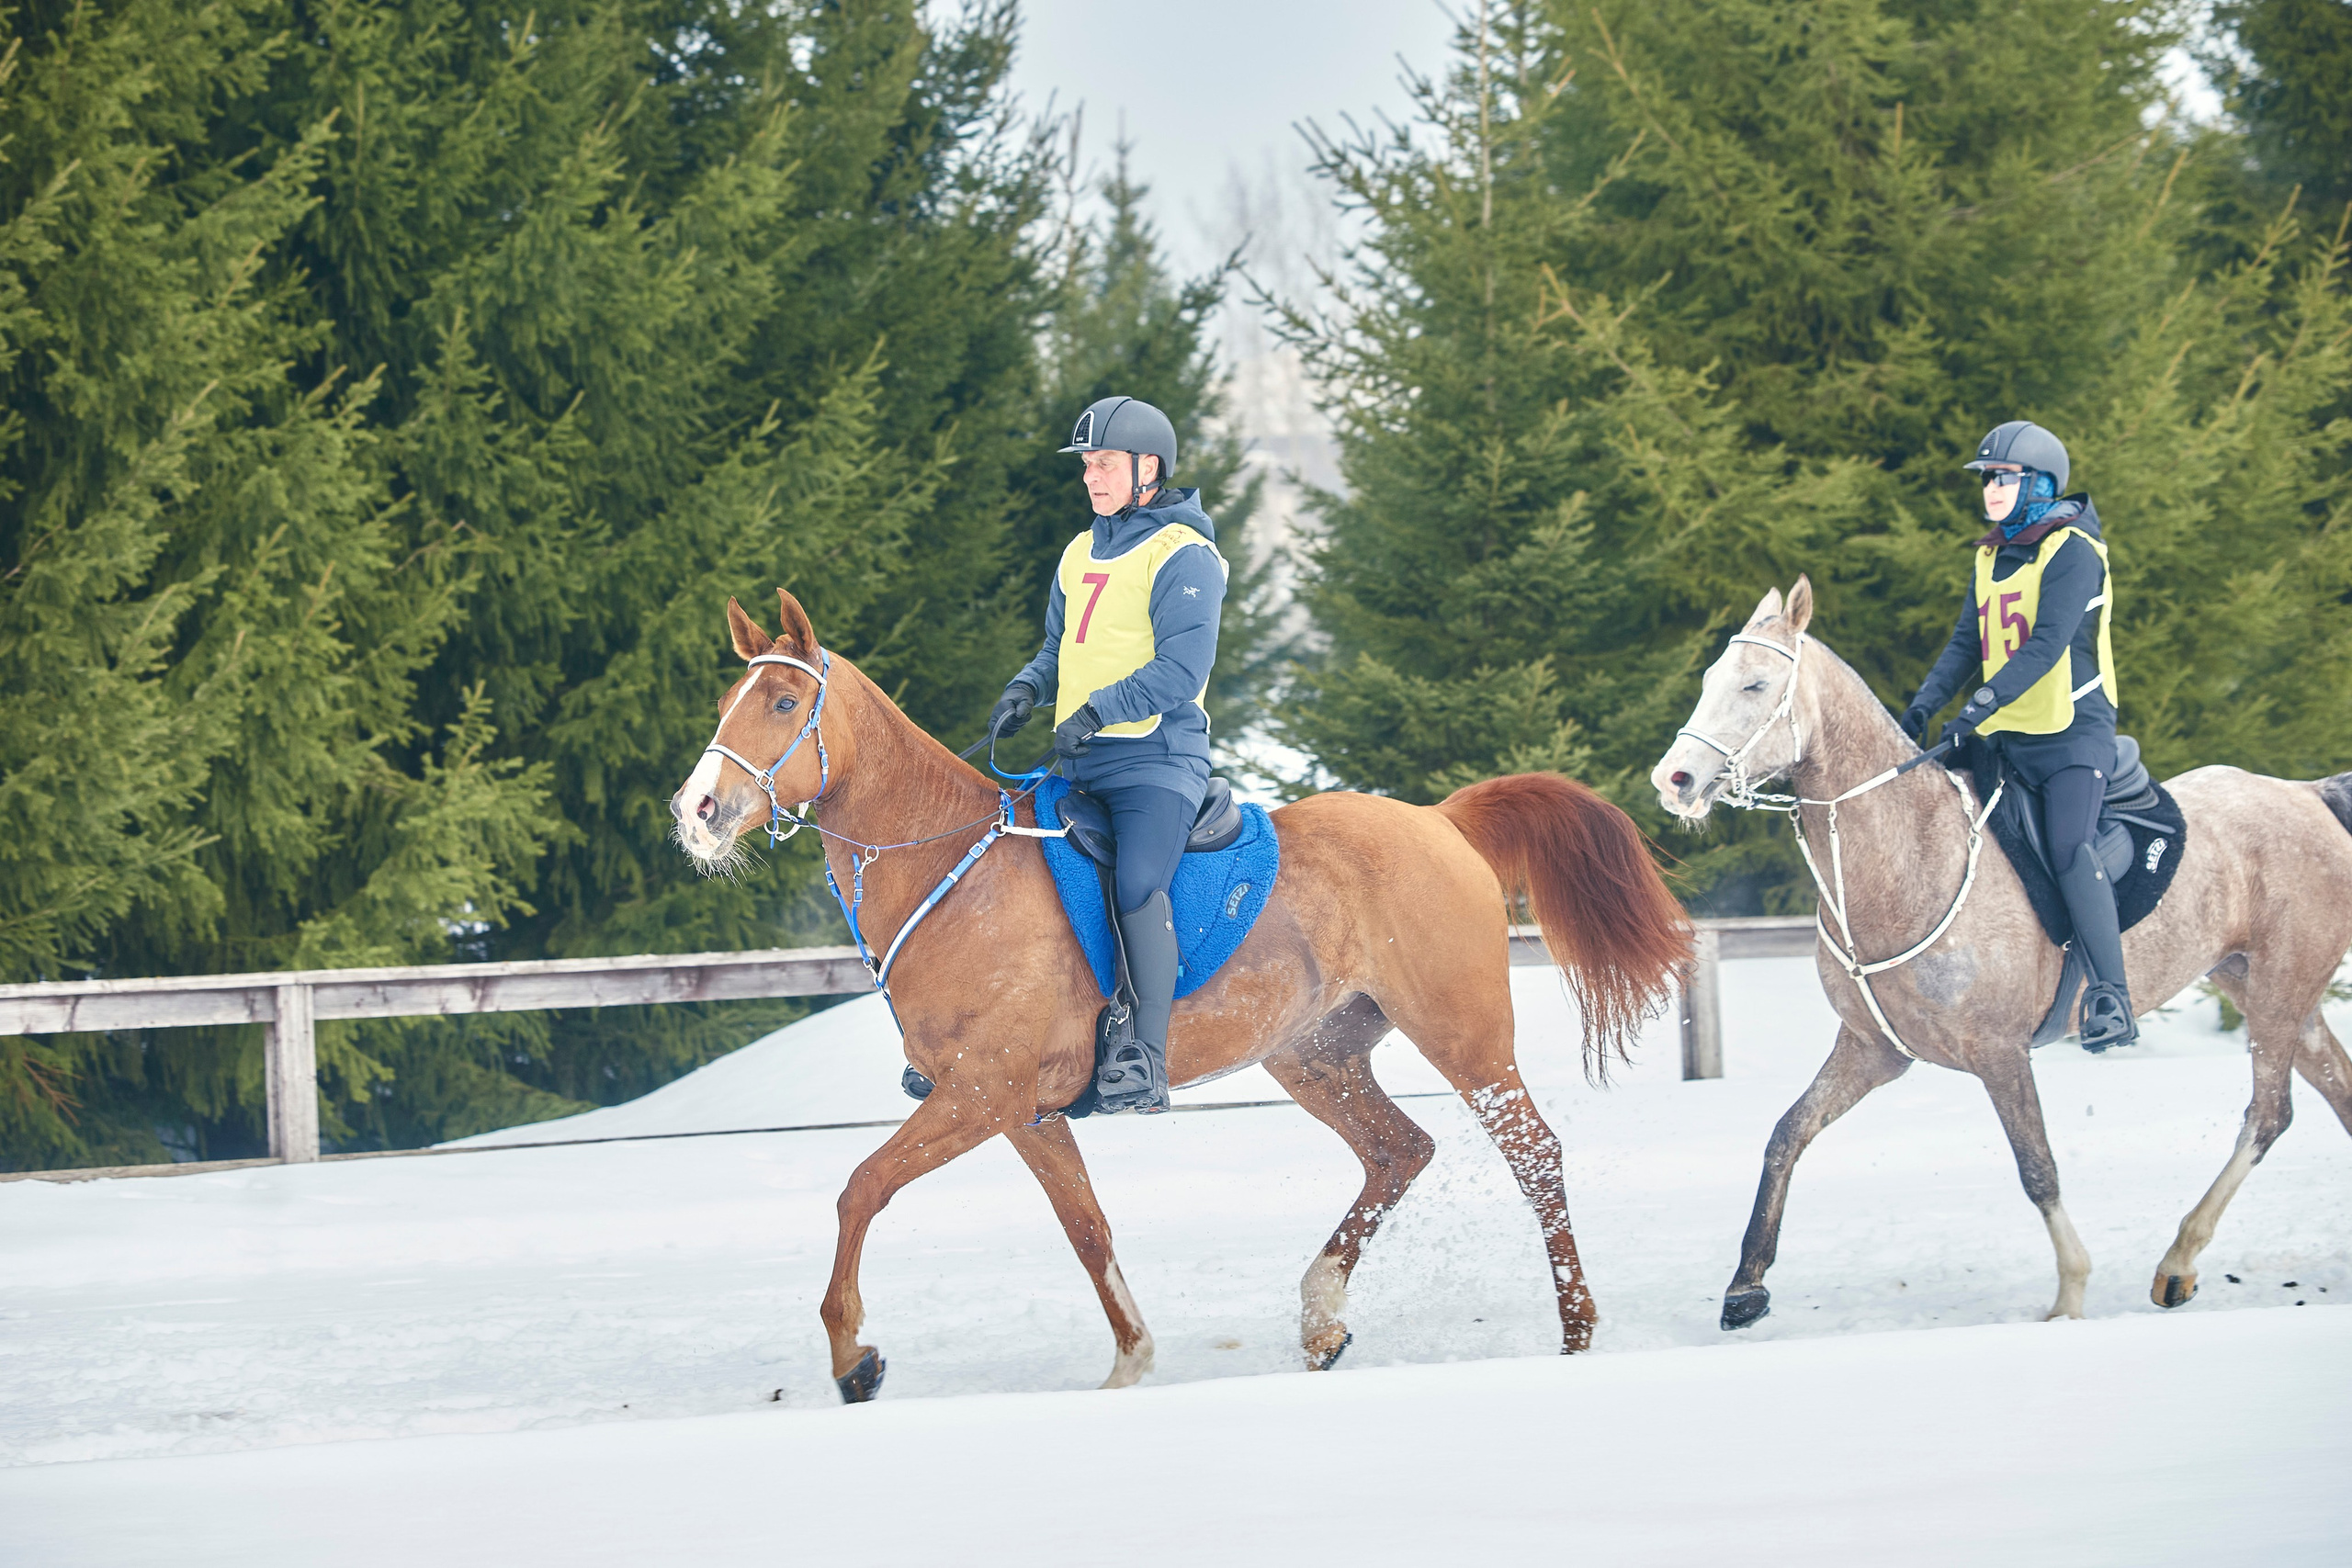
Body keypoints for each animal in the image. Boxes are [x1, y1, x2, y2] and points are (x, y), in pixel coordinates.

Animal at [671, 589, 1691, 1401]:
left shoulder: (981, 1093)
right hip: (1314, 1055)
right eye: (726, 702)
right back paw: (1322, 1316)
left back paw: (1575, 1326)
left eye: (783, 701)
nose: (697, 812)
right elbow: (1086, 1227)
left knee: (1534, 1155)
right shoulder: (1024, 1112)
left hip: (1463, 1035)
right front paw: (1131, 1360)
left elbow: (861, 1188)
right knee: (1399, 1150)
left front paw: (854, 1357)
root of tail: (1439, 820)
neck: (955, 873)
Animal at [1650, 576, 2352, 1329]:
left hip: (2279, 991)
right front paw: (1745, 1287)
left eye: (1754, 684)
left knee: (2268, 1115)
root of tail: (2308, 793)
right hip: (2267, 989)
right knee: (2333, 1092)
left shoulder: (2000, 1052)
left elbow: (2037, 1166)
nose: (1675, 779)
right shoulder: (1872, 1050)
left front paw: (2069, 1295)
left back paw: (2177, 1262)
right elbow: (1787, 1134)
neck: (1910, 855)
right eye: (1708, 679)